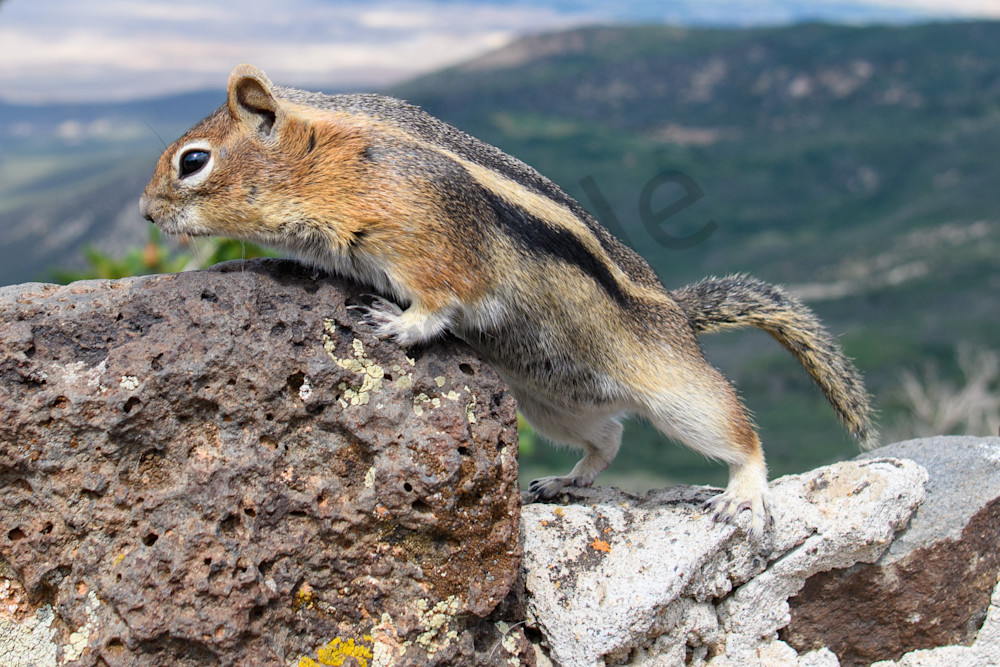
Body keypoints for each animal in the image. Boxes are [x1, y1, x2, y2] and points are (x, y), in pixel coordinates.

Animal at [140, 64, 876, 537]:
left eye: (193, 161)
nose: (146, 213)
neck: (327, 158)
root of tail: (675, 311)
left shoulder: (432, 240)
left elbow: (443, 298)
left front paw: (398, 324)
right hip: (551, 402)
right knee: (608, 437)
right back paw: (567, 480)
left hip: (671, 387)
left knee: (734, 428)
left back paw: (745, 492)